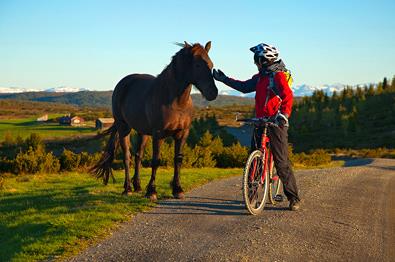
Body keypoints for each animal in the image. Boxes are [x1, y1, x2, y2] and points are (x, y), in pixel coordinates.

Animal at [91, 41, 218, 201]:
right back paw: (128, 189)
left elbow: (178, 159)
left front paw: (177, 189)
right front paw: (151, 191)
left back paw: (138, 186)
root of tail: (123, 83)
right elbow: (155, 161)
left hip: (143, 132)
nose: (213, 93)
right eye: (198, 65)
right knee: (127, 156)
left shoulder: (182, 134)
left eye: (211, 65)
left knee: (138, 156)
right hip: (123, 127)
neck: (176, 102)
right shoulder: (158, 134)